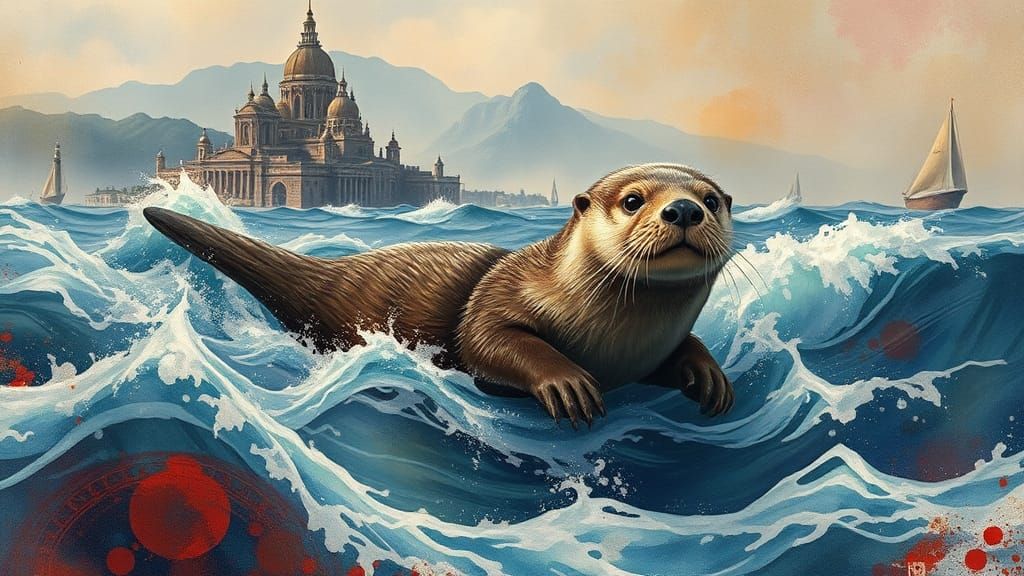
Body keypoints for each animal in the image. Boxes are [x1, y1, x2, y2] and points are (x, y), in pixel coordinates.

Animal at [144, 163, 735, 428]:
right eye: (633, 199)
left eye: (712, 199)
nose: (684, 209)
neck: (618, 340)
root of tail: (332, 272)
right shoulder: (500, 291)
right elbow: (487, 338)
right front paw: (566, 382)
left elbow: (680, 355)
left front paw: (708, 374)